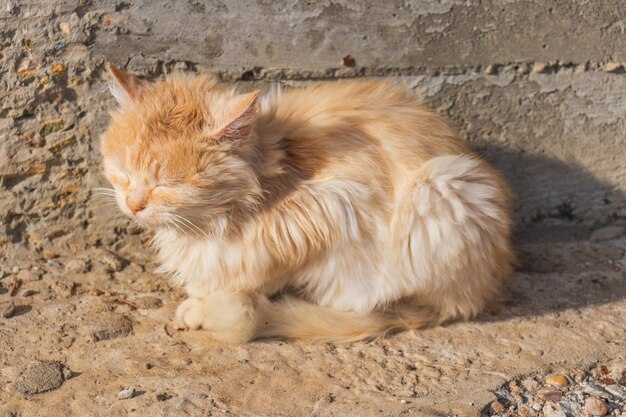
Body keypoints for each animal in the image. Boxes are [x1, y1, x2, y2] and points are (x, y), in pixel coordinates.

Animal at [98, 62, 512, 342]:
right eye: (122, 171)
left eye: (168, 183)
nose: (133, 204)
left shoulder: (332, 208)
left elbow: (253, 276)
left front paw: (205, 304)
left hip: (444, 187)